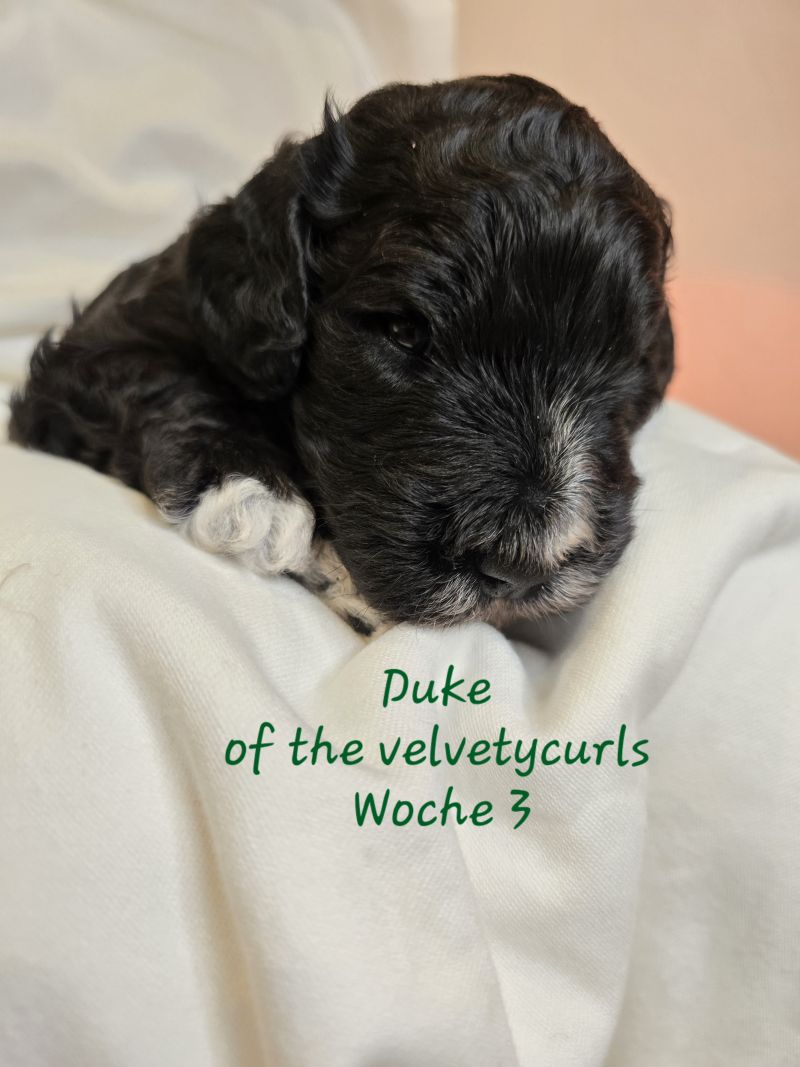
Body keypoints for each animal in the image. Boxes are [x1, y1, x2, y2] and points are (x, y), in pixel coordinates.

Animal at [9, 75, 673, 634]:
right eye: (402, 330)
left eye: (623, 370)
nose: (522, 568)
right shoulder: (87, 360)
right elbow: (171, 385)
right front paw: (254, 491)